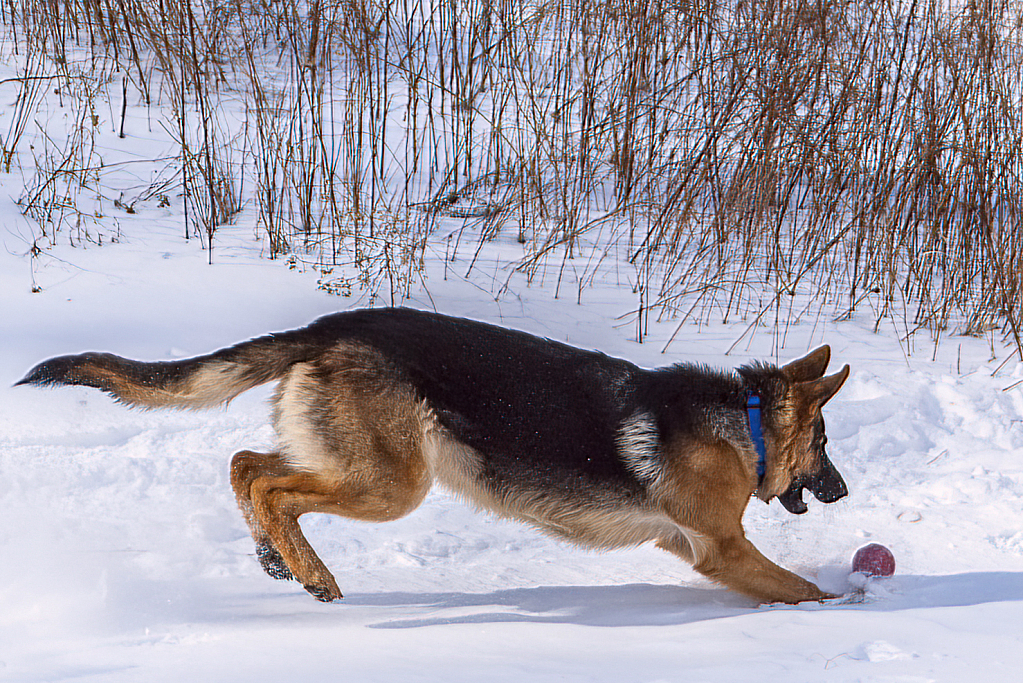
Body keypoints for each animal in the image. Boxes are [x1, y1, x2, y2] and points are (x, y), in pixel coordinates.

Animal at [19, 308, 851, 601]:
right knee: (269, 486)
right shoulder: (720, 548)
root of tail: (327, 326)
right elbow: (804, 590)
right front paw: (853, 608)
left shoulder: (697, 549)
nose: (841, 492)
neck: (743, 419)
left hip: (352, 465)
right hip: (393, 485)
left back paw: (274, 559)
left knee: (246, 463)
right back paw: (313, 574)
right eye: (822, 443)